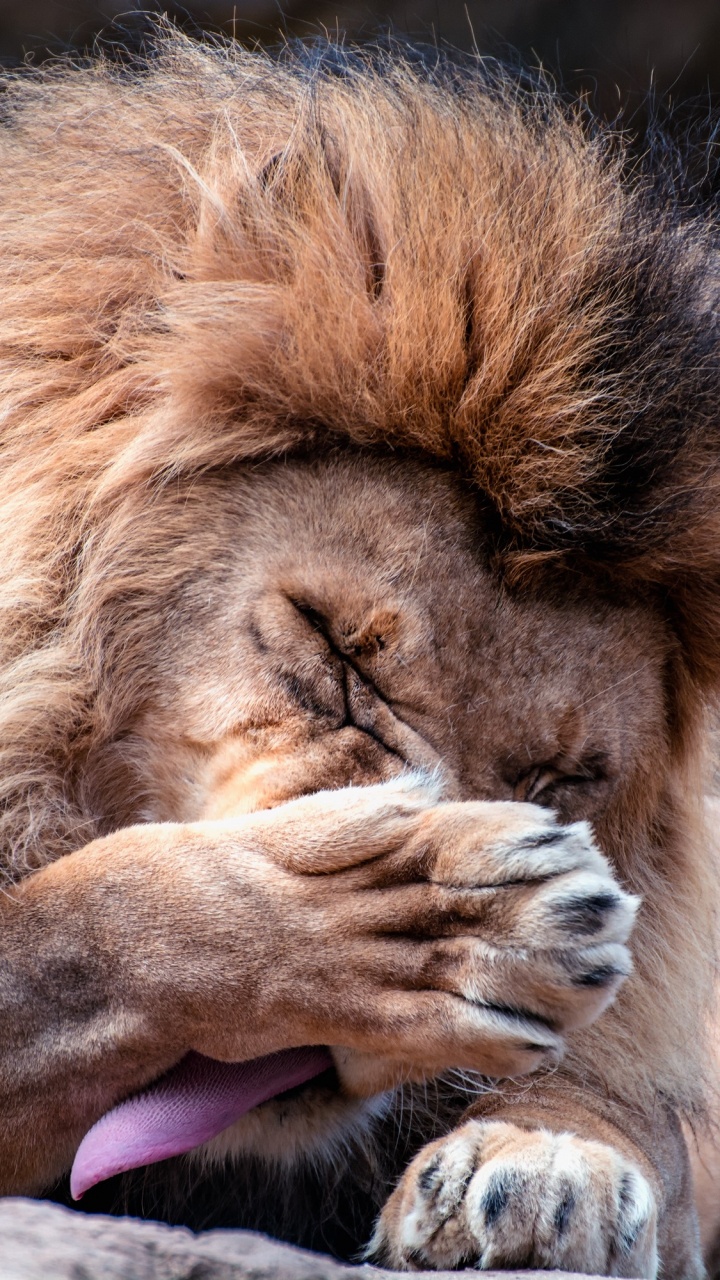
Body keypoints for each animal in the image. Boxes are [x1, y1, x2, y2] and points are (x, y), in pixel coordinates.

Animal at [0, 29, 718, 1279]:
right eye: (335, 653)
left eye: (564, 778)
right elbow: (78, 924)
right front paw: (426, 912)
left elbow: (651, 1109)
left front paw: (550, 1154)